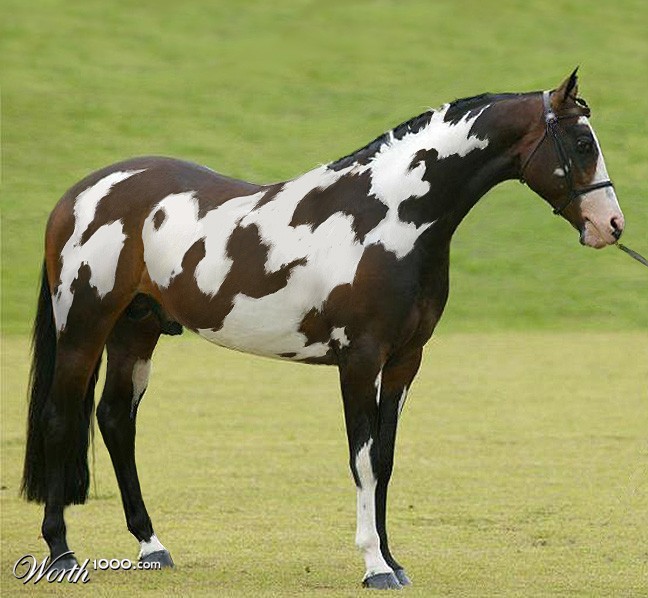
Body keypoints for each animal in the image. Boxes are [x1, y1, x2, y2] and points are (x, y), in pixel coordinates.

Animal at [22, 69, 624, 589]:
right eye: (582, 143)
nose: (611, 226)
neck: (391, 217)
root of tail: (78, 195)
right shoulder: (360, 360)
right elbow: (361, 458)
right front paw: (374, 566)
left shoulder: (405, 361)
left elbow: (384, 459)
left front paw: (393, 560)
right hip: (83, 328)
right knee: (59, 418)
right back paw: (61, 552)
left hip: (136, 331)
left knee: (115, 419)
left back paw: (152, 545)